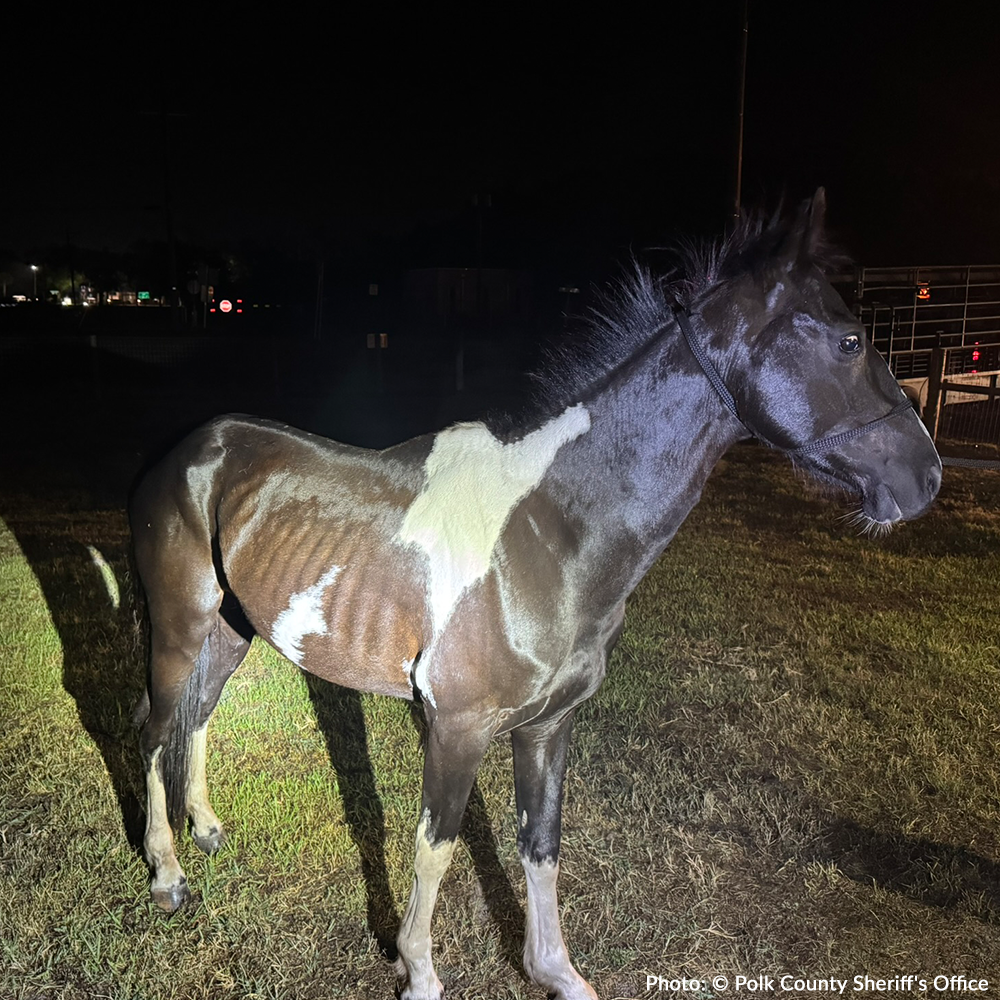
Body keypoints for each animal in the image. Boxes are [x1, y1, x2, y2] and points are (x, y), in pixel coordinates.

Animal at [130, 190, 941, 1000]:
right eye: (849, 341)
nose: (925, 477)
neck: (550, 528)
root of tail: (192, 447)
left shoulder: (550, 727)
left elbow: (541, 845)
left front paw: (552, 970)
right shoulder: (455, 727)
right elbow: (436, 847)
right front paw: (418, 971)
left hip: (231, 631)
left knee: (198, 717)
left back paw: (206, 829)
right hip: (176, 628)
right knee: (153, 728)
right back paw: (167, 875)